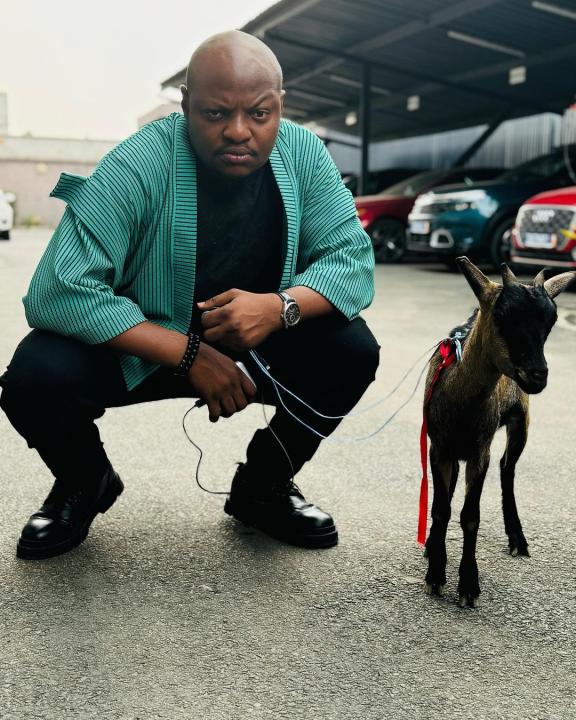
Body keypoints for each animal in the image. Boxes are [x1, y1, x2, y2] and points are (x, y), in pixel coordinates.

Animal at [424, 256, 576, 604]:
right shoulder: (438, 447)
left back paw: (517, 537)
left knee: (508, 469)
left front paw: (468, 583)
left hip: (521, 422)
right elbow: (440, 509)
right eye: (503, 317)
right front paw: (436, 571)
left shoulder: (481, 451)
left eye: (549, 323)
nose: (538, 376)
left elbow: (470, 516)